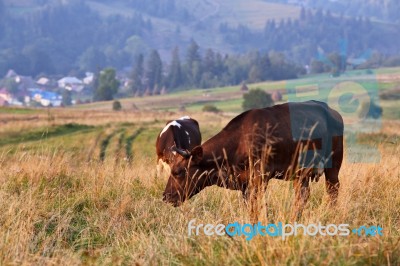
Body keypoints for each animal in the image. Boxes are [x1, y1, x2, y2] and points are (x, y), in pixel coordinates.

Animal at [162, 100, 344, 214]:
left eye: (178, 172)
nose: (165, 196)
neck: (240, 142)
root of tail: (331, 111)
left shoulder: (259, 178)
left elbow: (257, 207)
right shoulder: (244, 184)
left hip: (334, 166)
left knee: (332, 191)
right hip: (301, 175)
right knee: (302, 197)